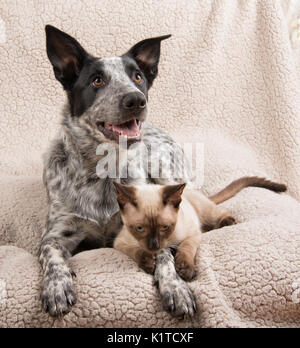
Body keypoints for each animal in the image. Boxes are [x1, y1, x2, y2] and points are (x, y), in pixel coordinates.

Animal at [38, 25, 234, 318]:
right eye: (97, 81)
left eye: (138, 77)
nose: (136, 100)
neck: (102, 171)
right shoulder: (56, 234)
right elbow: (51, 255)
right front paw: (57, 287)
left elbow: (164, 254)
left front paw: (174, 287)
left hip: (163, 165)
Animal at [112, 177, 286, 280]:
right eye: (140, 228)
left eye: (164, 227)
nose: (154, 245)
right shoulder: (120, 243)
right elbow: (137, 252)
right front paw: (149, 262)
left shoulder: (193, 234)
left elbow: (186, 248)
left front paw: (185, 269)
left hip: (207, 213)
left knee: (222, 213)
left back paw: (227, 222)